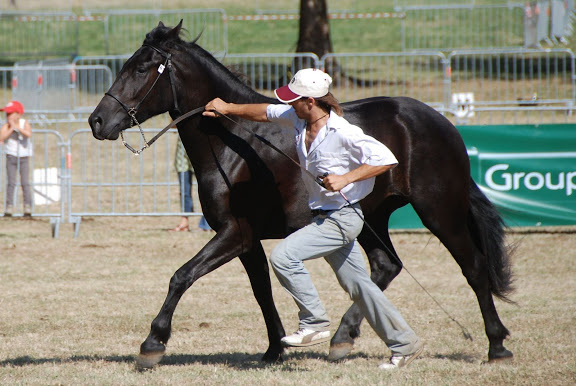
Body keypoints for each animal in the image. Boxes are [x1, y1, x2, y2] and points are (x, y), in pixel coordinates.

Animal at [89, 21, 512, 368]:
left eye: (141, 68)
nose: (97, 121)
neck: (235, 142)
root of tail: (441, 122)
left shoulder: (233, 232)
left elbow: (181, 276)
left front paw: (152, 343)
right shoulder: (246, 240)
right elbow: (261, 291)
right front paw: (274, 349)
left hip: (440, 212)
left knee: (474, 268)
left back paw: (497, 345)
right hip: (371, 219)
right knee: (386, 266)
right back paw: (342, 338)